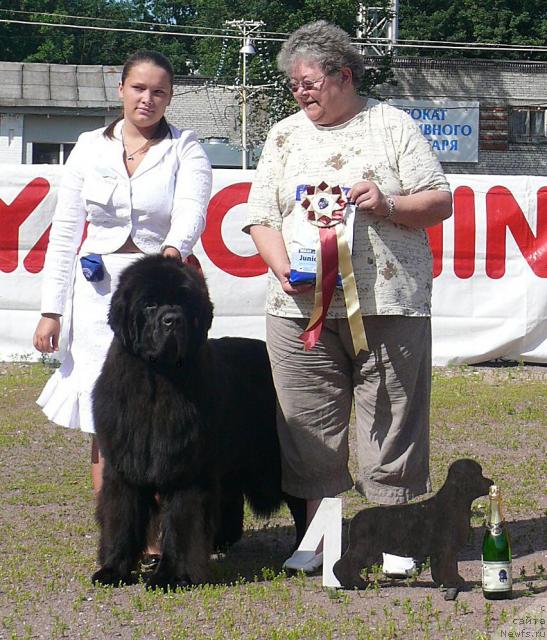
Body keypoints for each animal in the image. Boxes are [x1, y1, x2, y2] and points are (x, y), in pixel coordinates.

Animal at [90, 255, 304, 592]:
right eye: (149, 304)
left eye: (184, 303)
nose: (172, 319)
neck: (158, 380)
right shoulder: (124, 467)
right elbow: (120, 519)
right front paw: (113, 569)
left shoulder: (186, 470)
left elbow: (181, 525)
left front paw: (172, 576)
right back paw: (220, 541)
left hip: (271, 458)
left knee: (302, 498)